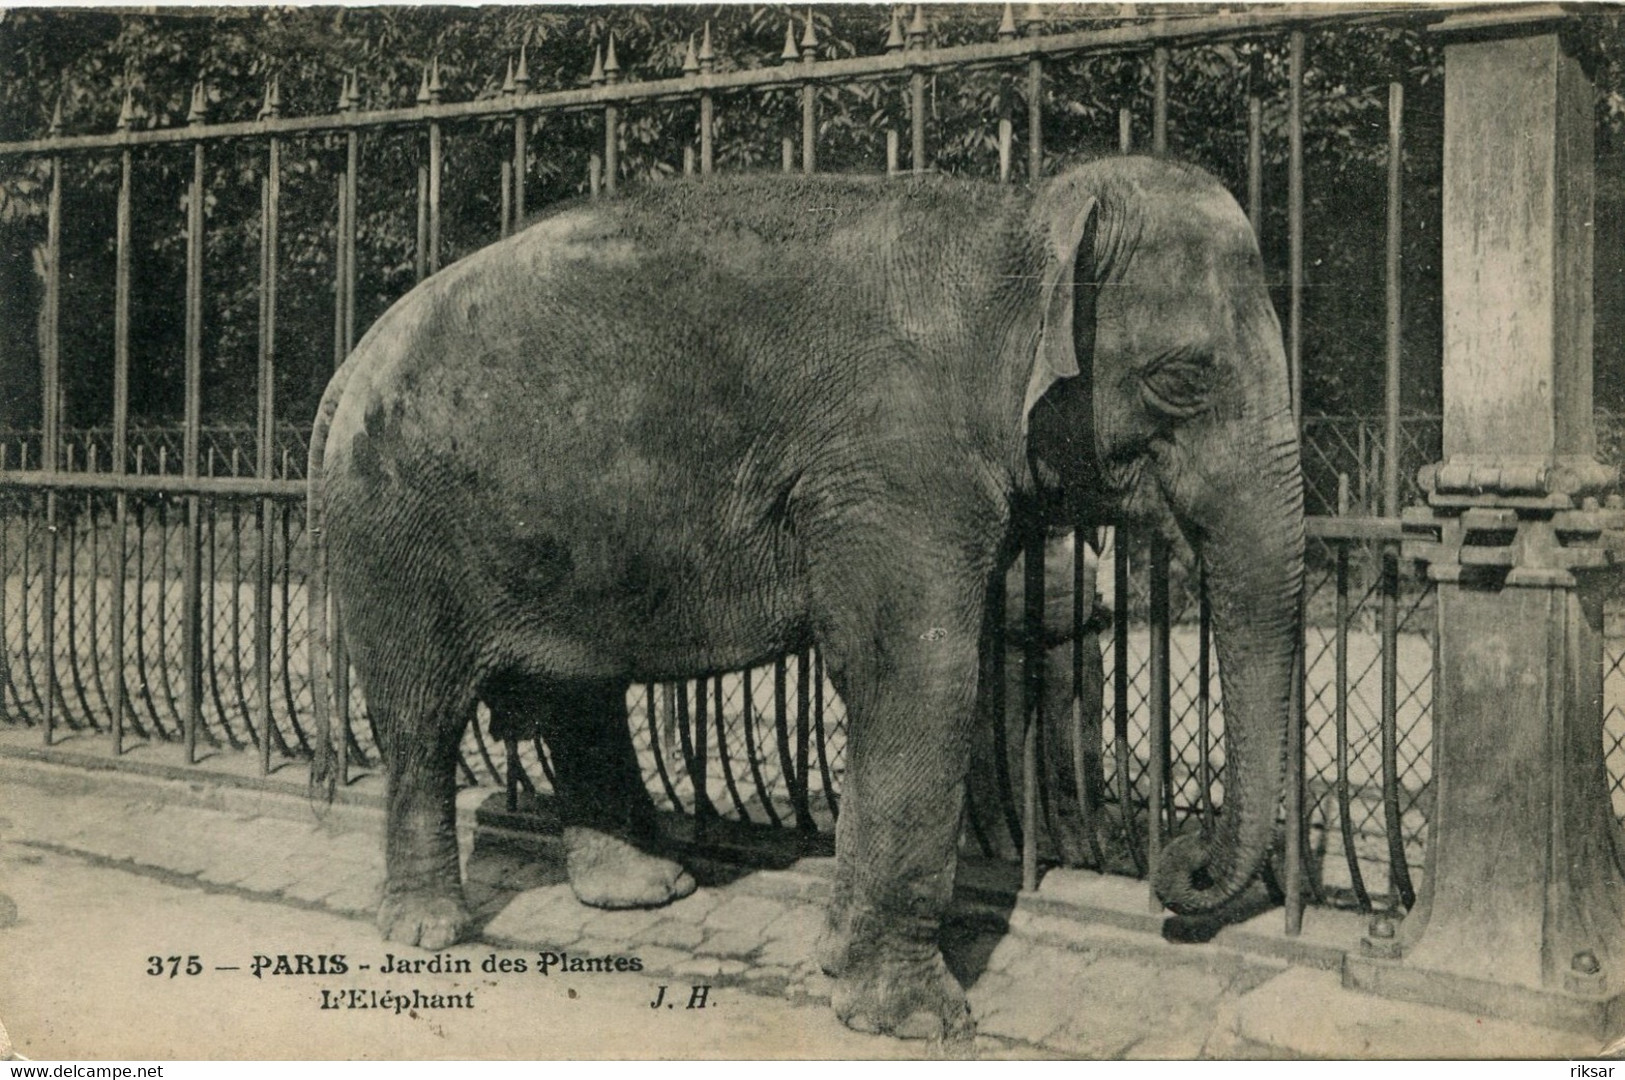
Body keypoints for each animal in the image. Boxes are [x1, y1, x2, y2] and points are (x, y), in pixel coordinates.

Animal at [307, 151, 1306, 1039]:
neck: (1017, 221)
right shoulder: (888, 460)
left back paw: (643, 893)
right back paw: (433, 930)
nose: (1179, 874)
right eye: (1181, 380)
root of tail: (352, 358)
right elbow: (917, 673)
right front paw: (915, 1020)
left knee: (579, 695)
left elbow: (897, 682)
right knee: (423, 716)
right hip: (395, 528)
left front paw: (835, 960)